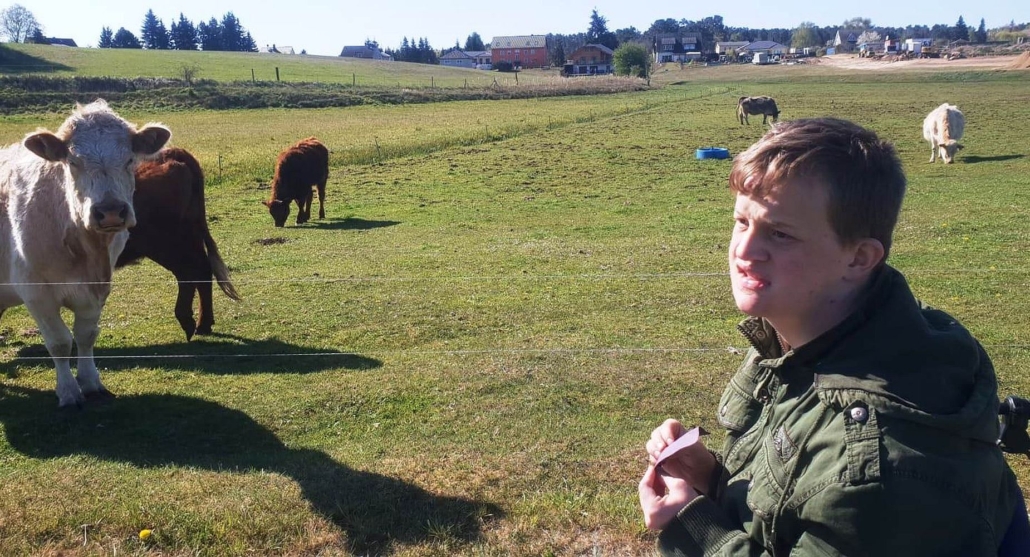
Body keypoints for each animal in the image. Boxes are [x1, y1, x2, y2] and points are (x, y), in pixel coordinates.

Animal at [0, 99, 170, 407]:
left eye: (129, 159)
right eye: (73, 162)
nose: (111, 211)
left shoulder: (98, 289)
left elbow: (85, 335)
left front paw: (91, 383)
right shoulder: (36, 294)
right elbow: (59, 342)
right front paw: (68, 391)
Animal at [117, 148, 240, 340]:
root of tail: (172, 152)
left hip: (167, 244)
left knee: (190, 271)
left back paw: (189, 321)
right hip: (189, 236)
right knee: (201, 270)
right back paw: (203, 324)